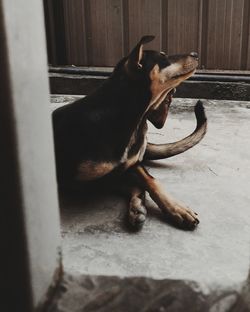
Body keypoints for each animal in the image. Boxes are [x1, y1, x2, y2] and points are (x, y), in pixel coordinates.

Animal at [52, 36, 207, 230]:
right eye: (163, 57)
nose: (196, 53)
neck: (131, 121)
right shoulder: (77, 181)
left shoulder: (132, 164)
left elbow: (150, 180)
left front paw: (176, 208)